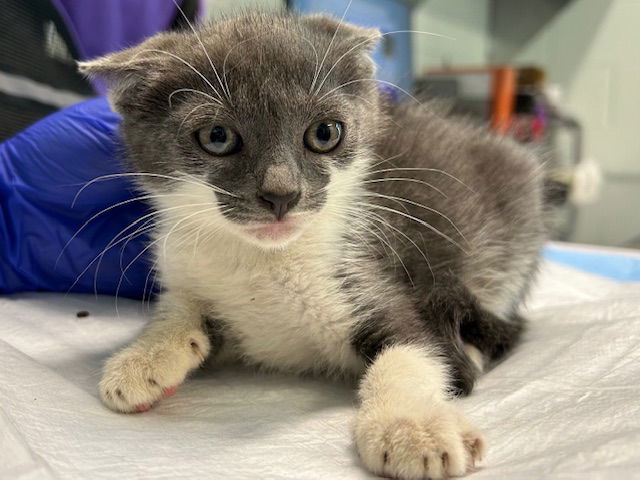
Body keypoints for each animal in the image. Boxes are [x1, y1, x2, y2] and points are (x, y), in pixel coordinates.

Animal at [79, 12, 544, 480]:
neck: (263, 260)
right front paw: (145, 357)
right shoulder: (189, 269)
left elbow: (411, 350)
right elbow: (180, 310)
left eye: (325, 133)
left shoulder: (368, 271)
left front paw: (413, 428)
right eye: (216, 136)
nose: (282, 194)